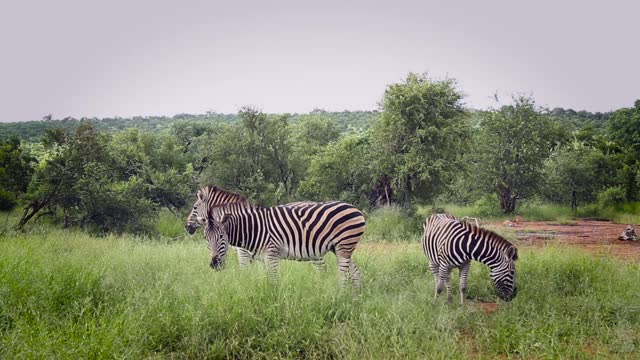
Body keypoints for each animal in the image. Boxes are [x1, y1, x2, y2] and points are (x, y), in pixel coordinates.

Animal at [202, 197, 368, 286]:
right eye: (205, 238)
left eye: (222, 237)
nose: (214, 264)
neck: (254, 228)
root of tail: (355, 208)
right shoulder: (262, 258)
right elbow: (266, 278)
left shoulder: (272, 254)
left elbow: (274, 280)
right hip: (340, 247)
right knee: (355, 272)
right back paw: (355, 297)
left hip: (344, 245)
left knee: (343, 273)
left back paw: (341, 294)